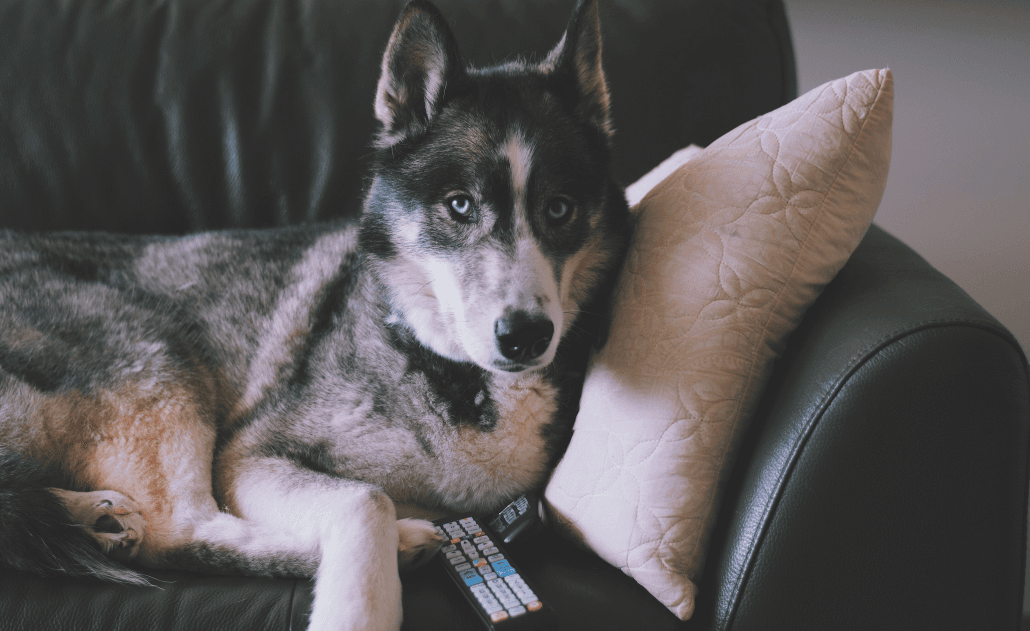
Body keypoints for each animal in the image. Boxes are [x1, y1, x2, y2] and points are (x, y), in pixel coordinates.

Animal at [0, 2, 626, 625]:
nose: (526, 336)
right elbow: (367, 498)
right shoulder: (249, 456)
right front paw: (360, 598)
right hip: (156, 357)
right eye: (459, 205)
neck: (451, 371)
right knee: (176, 532)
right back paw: (398, 543)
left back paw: (94, 518)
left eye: (560, 209)